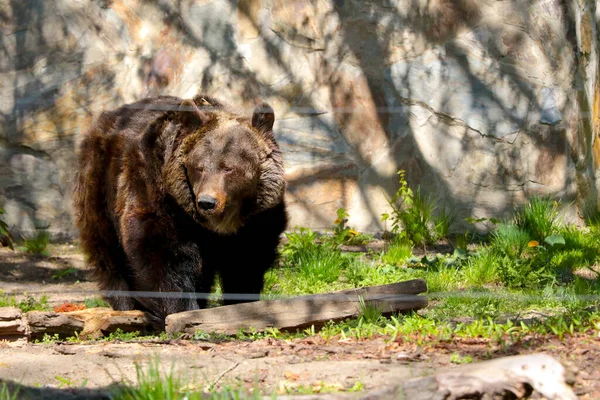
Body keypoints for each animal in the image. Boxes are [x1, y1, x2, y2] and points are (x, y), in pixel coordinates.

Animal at [72, 94, 288, 328]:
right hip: (100, 186)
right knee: (107, 250)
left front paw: (240, 303)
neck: (220, 224)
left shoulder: (258, 218)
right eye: (199, 167)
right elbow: (163, 255)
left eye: (228, 168)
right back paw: (125, 304)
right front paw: (181, 311)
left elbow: (247, 259)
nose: (207, 202)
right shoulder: (161, 197)